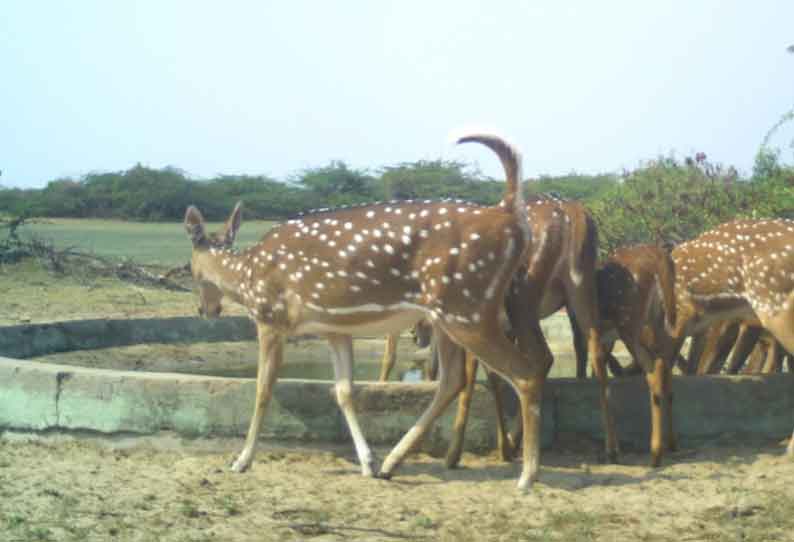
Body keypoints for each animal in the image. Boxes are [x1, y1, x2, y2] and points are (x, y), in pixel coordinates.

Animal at [183, 133, 552, 492]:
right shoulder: (335, 329)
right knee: (454, 379)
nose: (206, 309)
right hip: (450, 315)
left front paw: (241, 460)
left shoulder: (270, 318)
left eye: (189, 270)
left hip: (467, 308)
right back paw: (390, 464)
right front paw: (367, 463)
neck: (246, 275)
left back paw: (527, 476)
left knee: (524, 372)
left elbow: (263, 389)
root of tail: (509, 213)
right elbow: (344, 391)